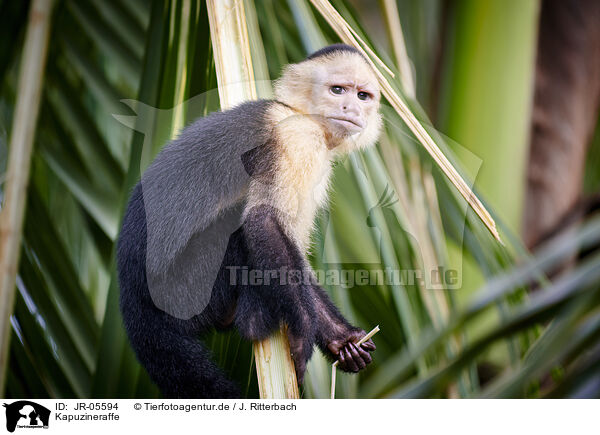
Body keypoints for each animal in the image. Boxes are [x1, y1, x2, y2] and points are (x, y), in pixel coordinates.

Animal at [116, 44, 380, 398]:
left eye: (363, 95)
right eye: (337, 90)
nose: (351, 107)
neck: (297, 112)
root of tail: (133, 300)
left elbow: (292, 248)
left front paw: (342, 339)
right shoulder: (298, 139)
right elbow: (264, 221)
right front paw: (303, 330)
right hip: (184, 291)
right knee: (240, 230)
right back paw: (254, 322)